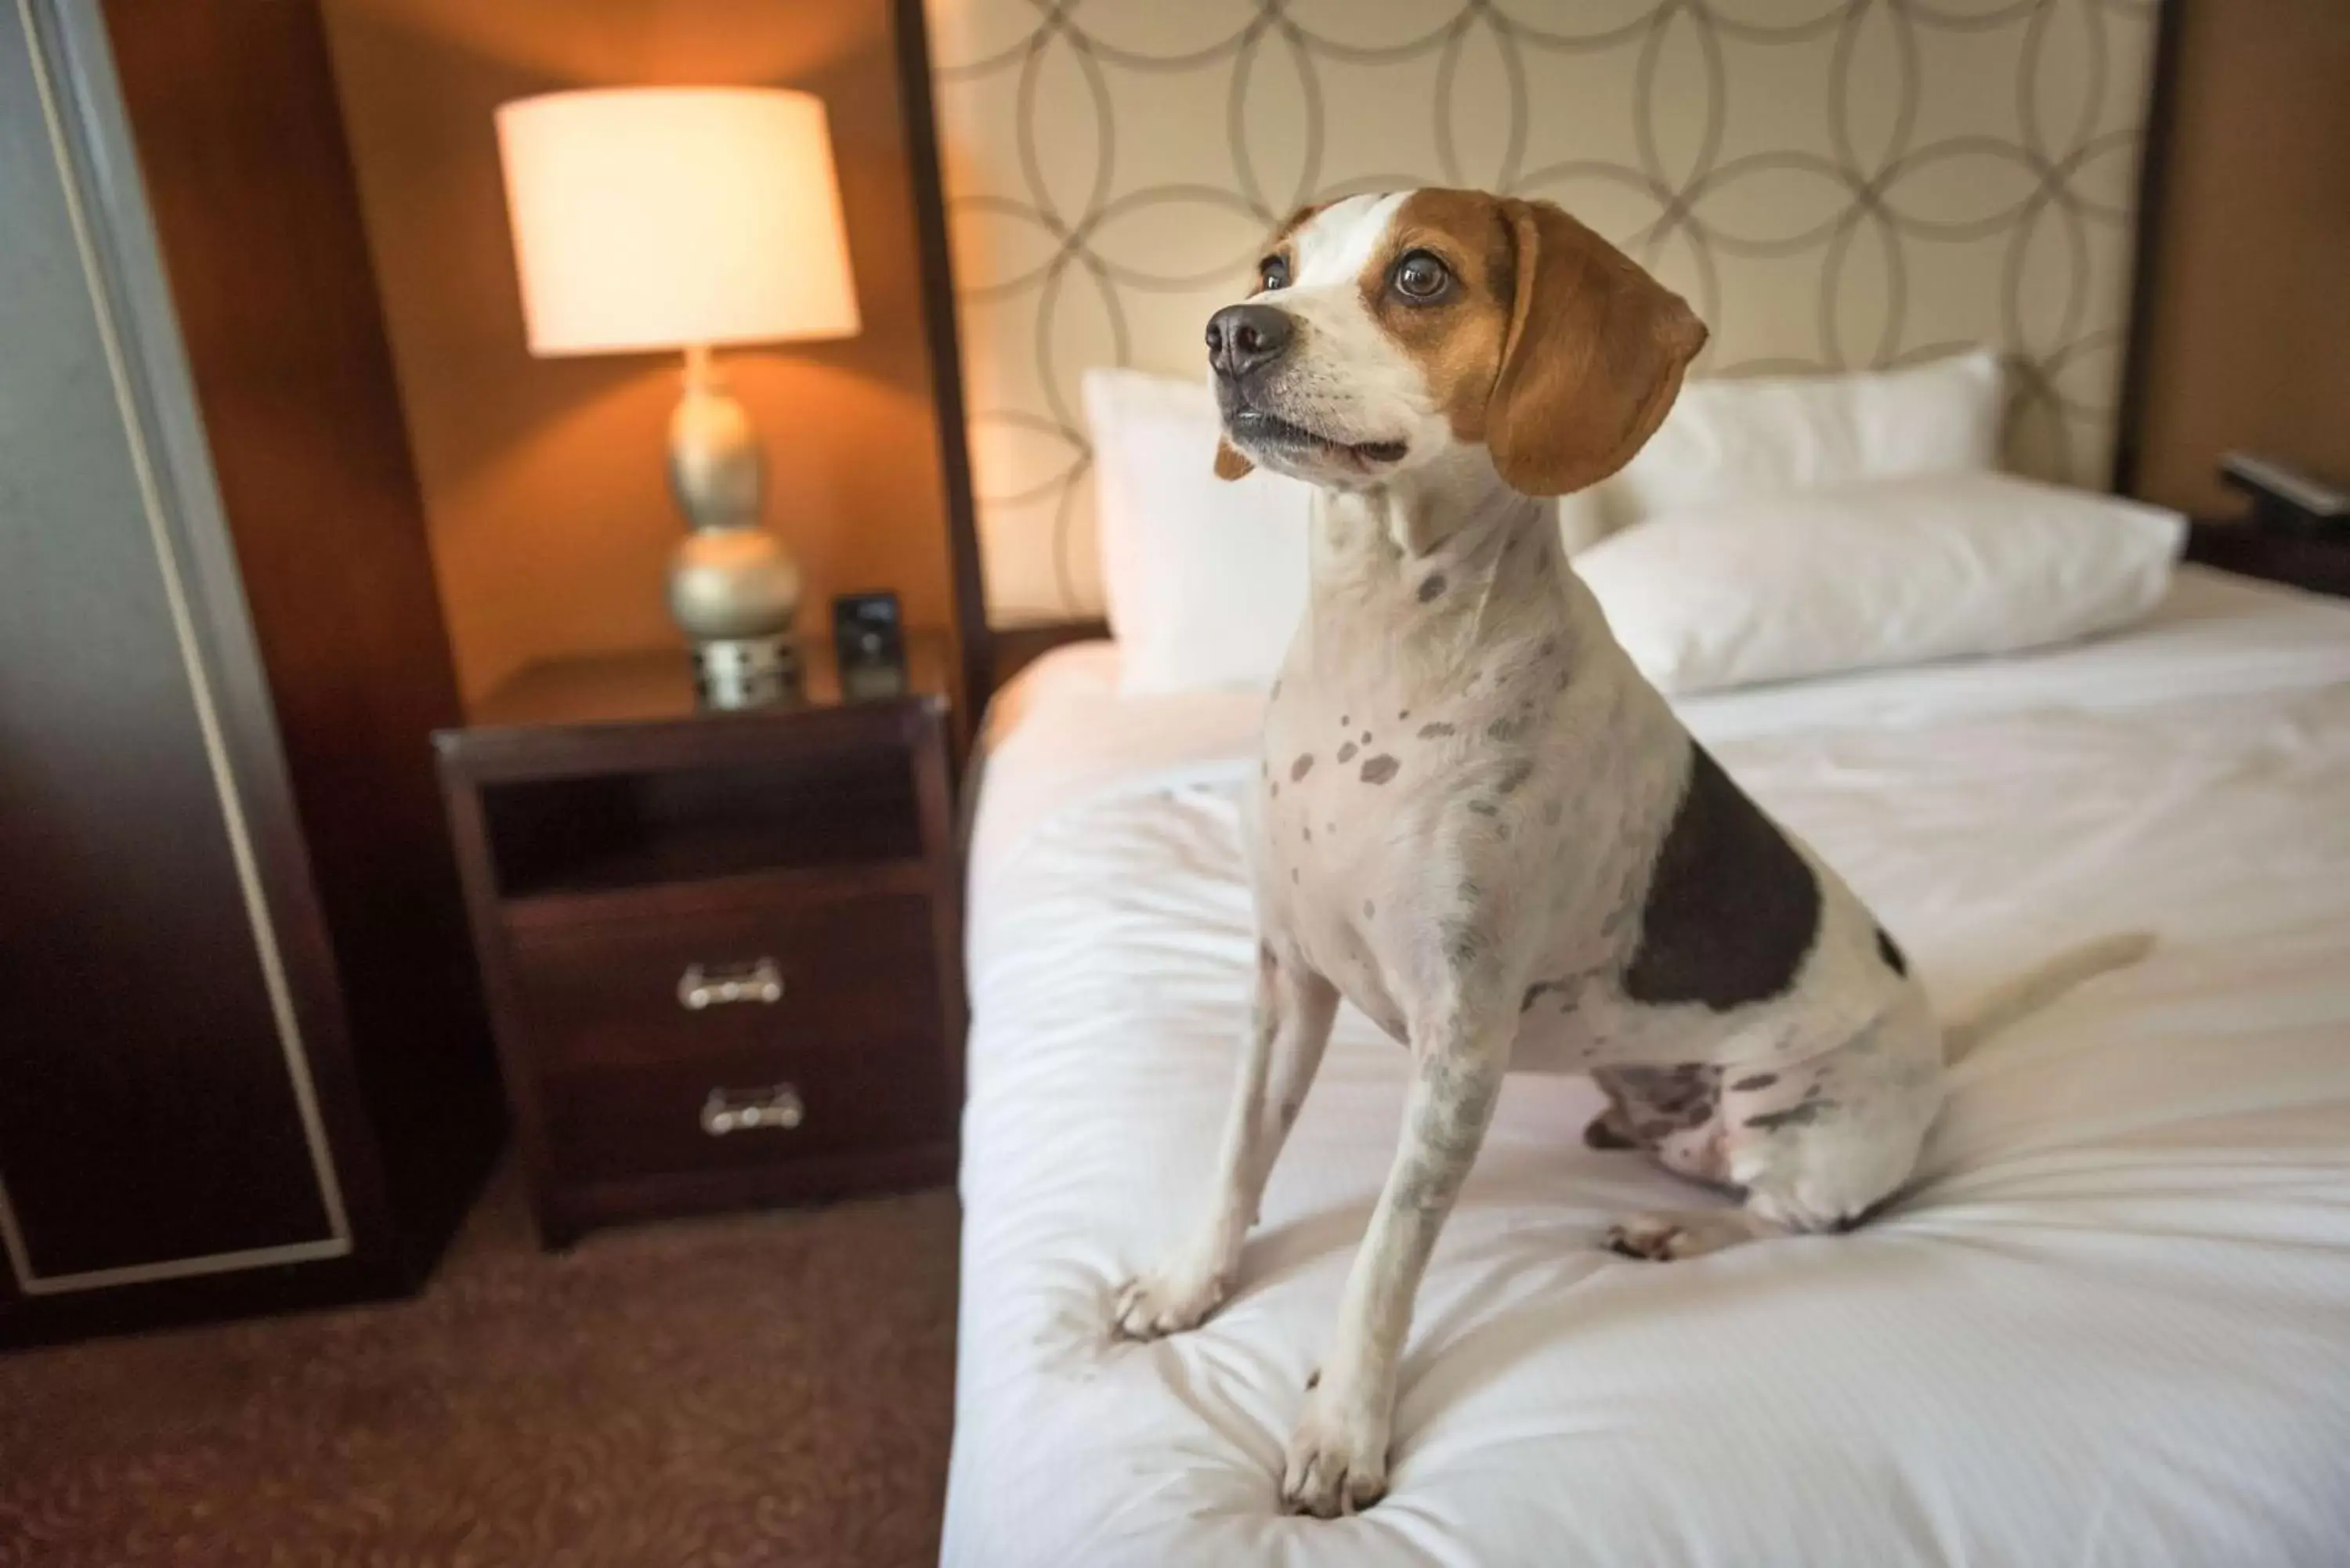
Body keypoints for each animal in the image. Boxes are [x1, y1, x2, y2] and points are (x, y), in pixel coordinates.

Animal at [1114, 186, 2153, 1523]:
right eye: (1276, 269)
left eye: (1421, 275)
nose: (1233, 332)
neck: (1381, 647)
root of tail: (1933, 1037)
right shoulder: (1285, 976)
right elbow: (1240, 1156)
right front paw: (1190, 1284)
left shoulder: (1460, 1046)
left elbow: (1386, 1256)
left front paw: (1343, 1424)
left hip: (1792, 1123)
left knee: (1806, 1219)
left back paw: (1677, 1233)